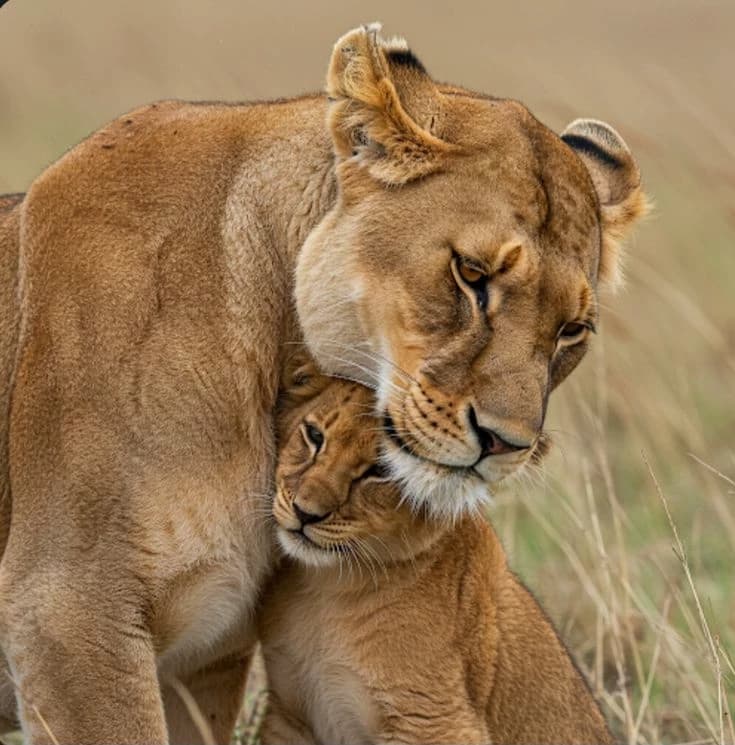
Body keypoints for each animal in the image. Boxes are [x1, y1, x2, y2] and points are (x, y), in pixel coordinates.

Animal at [257, 372, 613, 744]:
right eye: (314, 435)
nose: (305, 512)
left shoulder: (438, 721)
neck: (323, 590)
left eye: (381, 470)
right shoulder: (289, 716)